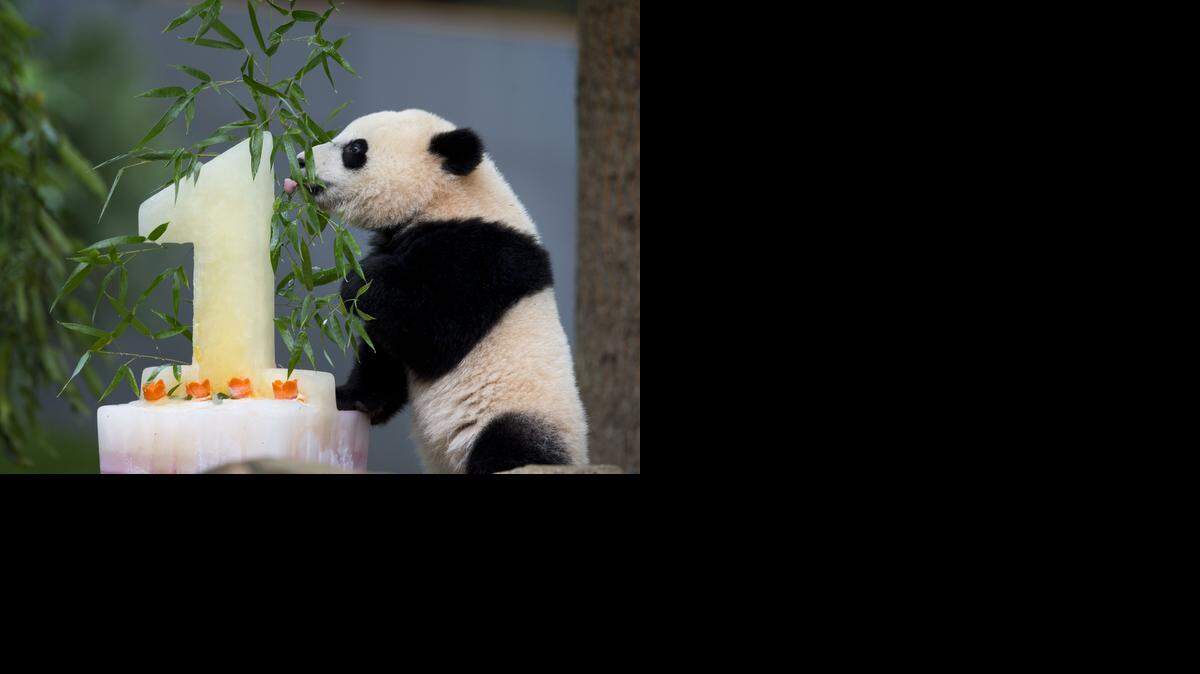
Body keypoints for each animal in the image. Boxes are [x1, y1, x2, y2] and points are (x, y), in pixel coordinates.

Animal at [285, 109, 587, 474]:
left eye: (355, 149)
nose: (301, 161)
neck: (447, 199)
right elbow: (384, 351)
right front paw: (349, 396)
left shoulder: (480, 258)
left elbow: (432, 336)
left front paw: (361, 278)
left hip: (522, 412)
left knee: (510, 445)